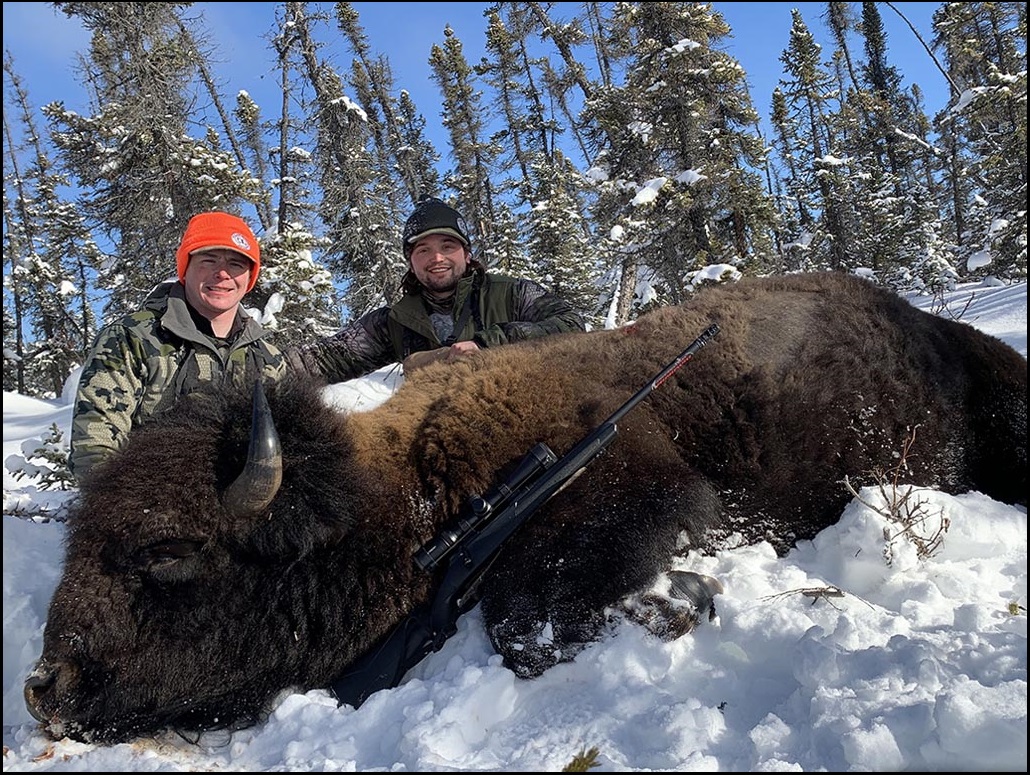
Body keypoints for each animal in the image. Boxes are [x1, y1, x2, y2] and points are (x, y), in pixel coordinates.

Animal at [22, 270, 1021, 737]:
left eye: (165, 554)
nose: (44, 688)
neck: (413, 492)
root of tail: (935, 326)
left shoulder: (646, 496)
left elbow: (527, 623)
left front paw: (683, 600)